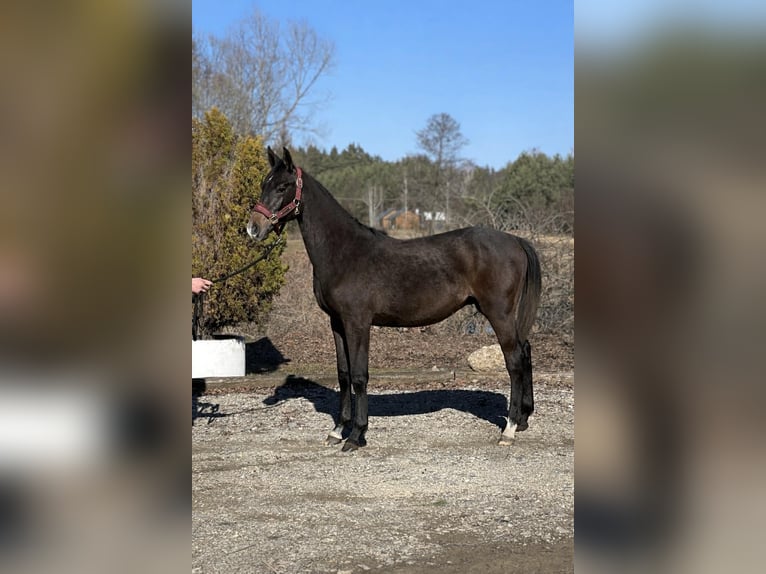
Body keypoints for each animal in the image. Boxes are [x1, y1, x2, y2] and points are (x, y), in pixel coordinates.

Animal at [248, 147, 541, 451]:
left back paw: (508, 429)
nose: (253, 228)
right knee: (525, 350)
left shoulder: (357, 323)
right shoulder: (336, 323)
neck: (344, 252)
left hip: (498, 313)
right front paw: (338, 429)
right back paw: (523, 419)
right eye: (263, 184)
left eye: (282, 186)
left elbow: (359, 376)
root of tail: (516, 240)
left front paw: (356, 435)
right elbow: (343, 375)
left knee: (515, 361)